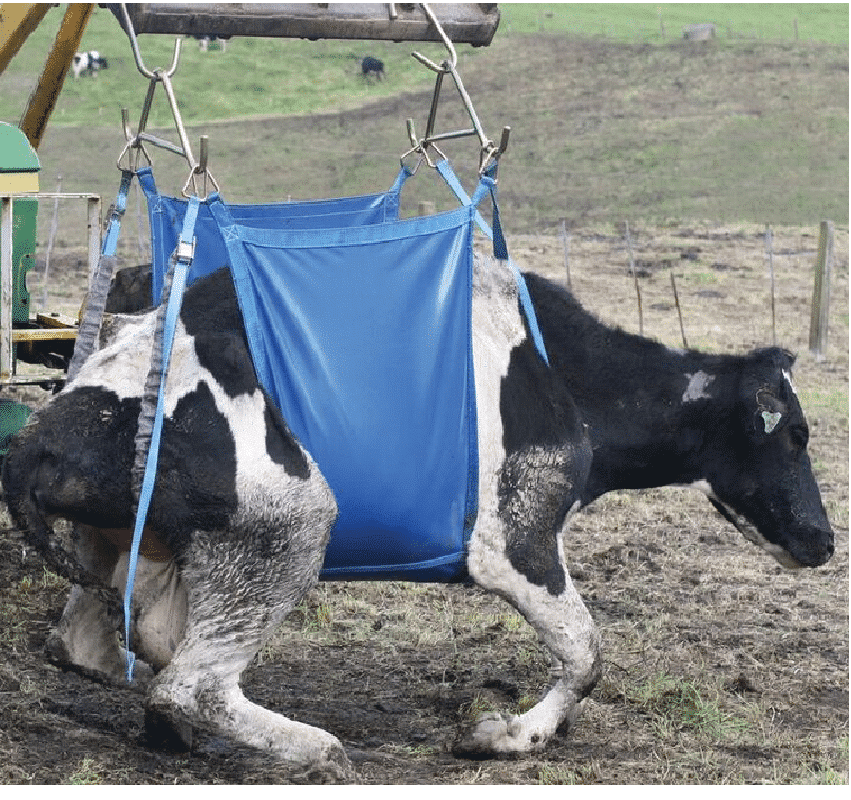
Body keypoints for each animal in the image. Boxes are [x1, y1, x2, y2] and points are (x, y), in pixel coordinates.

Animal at [1, 256, 833, 778]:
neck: (566, 375)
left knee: (119, 648)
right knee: (189, 683)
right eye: (793, 433)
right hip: (295, 520)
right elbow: (586, 654)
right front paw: (506, 735)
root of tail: (42, 437)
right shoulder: (515, 541)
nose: (822, 540)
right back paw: (315, 749)